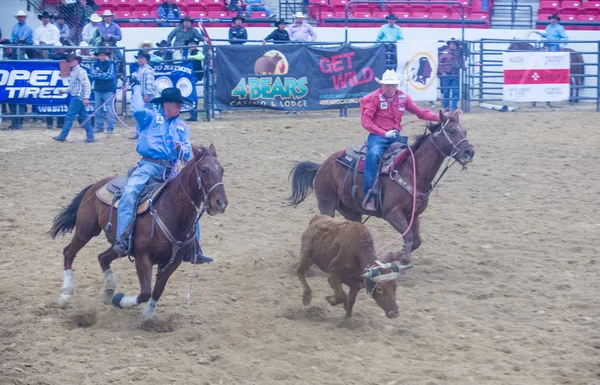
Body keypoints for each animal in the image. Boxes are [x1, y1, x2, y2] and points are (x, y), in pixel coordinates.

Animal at [48, 146, 227, 320]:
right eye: (204, 170)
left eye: (222, 170)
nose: (221, 203)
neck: (170, 210)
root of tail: (96, 185)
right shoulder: (143, 256)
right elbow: (145, 292)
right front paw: (120, 300)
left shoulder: (173, 261)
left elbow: (157, 290)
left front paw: (147, 316)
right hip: (86, 230)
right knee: (69, 252)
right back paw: (65, 295)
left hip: (120, 246)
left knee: (102, 257)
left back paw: (108, 292)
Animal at [286, 112, 474, 264]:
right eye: (451, 131)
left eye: (465, 132)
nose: (469, 152)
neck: (413, 171)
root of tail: (321, 166)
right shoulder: (392, 213)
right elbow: (409, 236)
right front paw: (402, 259)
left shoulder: (412, 214)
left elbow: (416, 241)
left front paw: (391, 257)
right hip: (327, 203)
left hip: (352, 210)